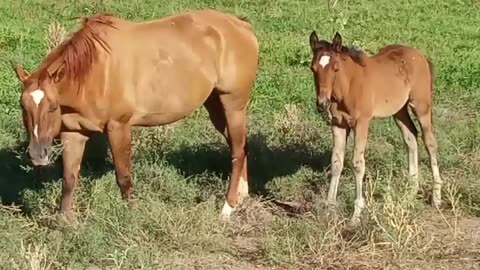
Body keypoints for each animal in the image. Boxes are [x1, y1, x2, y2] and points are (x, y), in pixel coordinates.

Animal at [11, 10, 258, 221]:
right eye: (23, 106)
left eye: (52, 107)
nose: (37, 154)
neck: (96, 71)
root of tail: (241, 25)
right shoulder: (74, 132)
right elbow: (69, 179)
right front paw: (65, 222)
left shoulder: (118, 127)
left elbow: (123, 176)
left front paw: (132, 214)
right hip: (215, 105)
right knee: (241, 146)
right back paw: (241, 195)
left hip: (233, 104)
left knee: (237, 151)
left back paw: (228, 207)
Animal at [312, 31, 442, 225]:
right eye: (313, 68)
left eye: (335, 68)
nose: (322, 103)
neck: (348, 87)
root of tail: (421, 56)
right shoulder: (338, 124)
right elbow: (336, 162)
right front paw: (329, 209)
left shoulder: (362, 123)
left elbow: (358, 164)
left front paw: (356, 215)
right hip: (399, 111)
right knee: (411, 137)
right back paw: (410, 193)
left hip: (421, 106)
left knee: (430, 142)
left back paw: (436, 197)